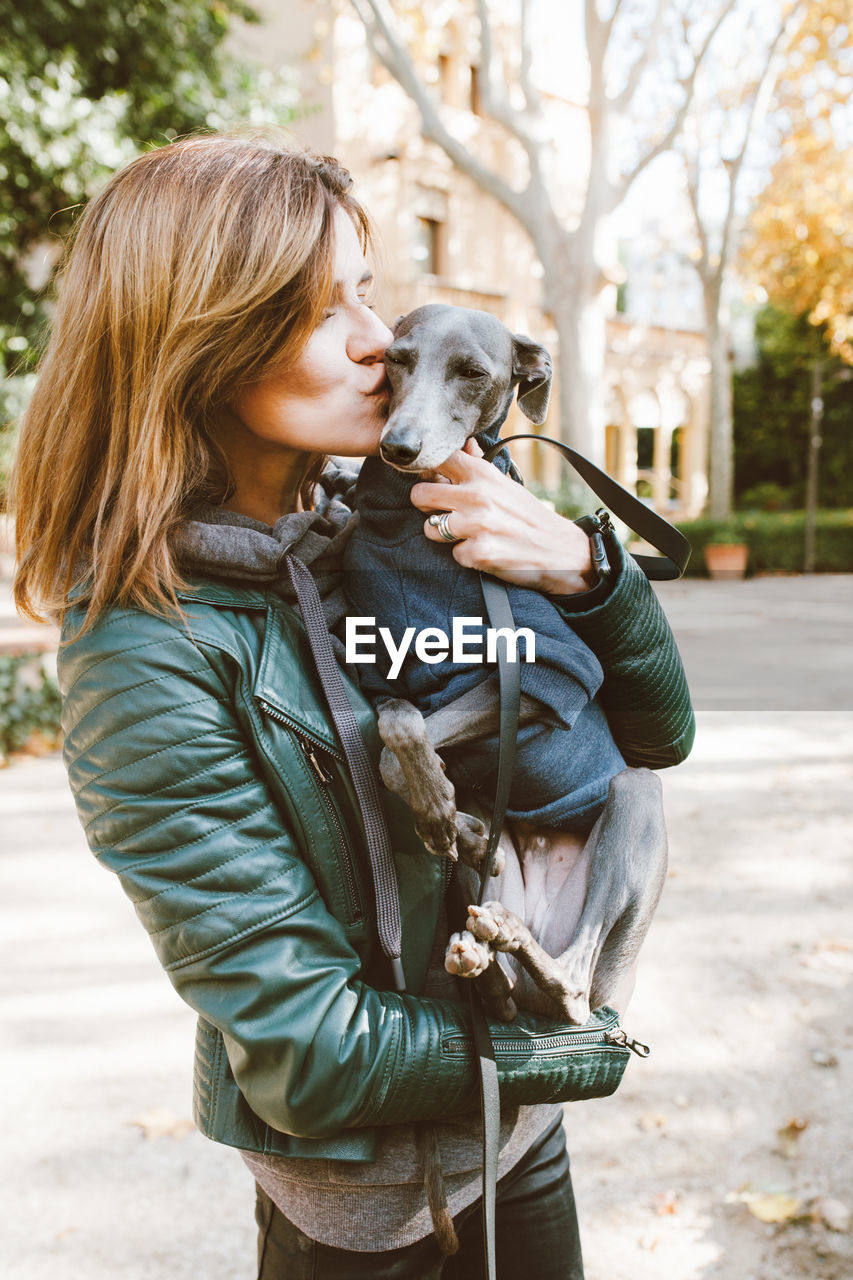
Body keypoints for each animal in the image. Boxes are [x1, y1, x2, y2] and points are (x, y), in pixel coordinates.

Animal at [343, 304, 666, 1024]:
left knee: (573, 986)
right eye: (395, 359)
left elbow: (396, 746)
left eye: (472, 372)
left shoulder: (548, 675)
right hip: (504, 877)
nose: (398, 446)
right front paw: (450, 815)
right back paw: (485, 955)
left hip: (635, 800)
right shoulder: (380, 667)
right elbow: (396, 720)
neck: (409, 522)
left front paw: (441, 813)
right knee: (508, 994)